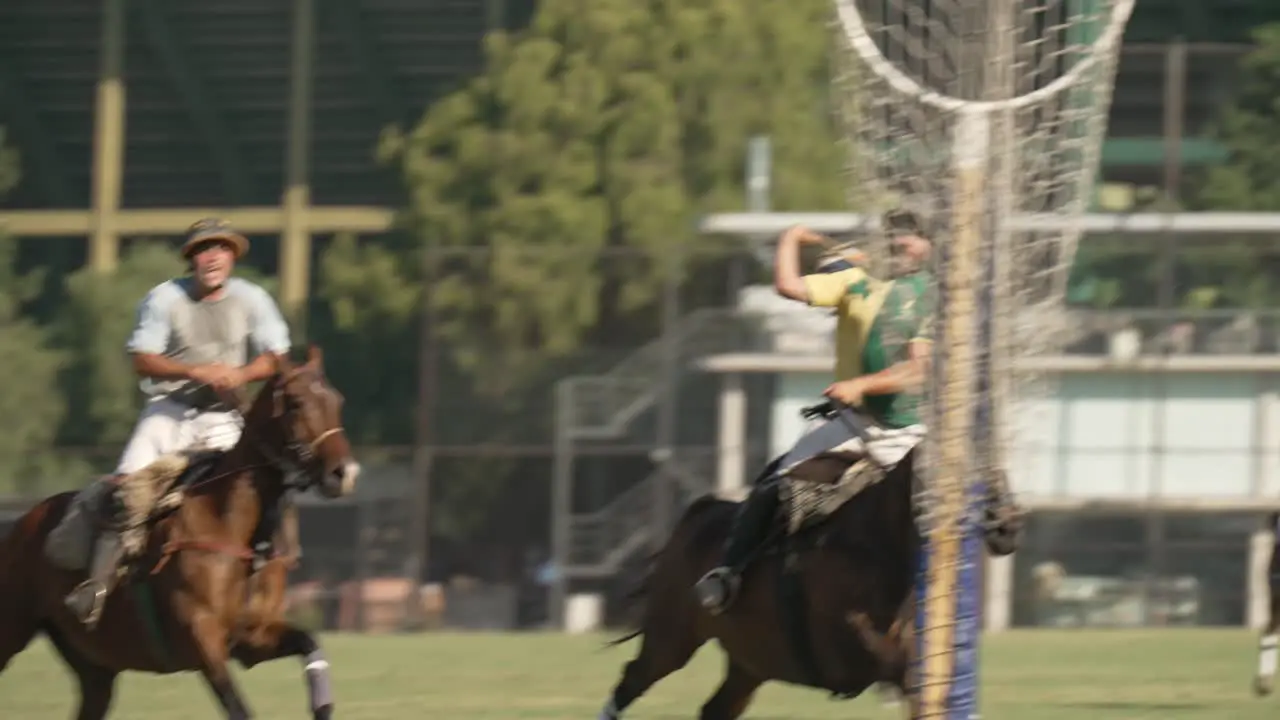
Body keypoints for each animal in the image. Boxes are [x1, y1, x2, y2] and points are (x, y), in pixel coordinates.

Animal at [0, 345, 358, 712]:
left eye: (337, 400)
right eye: (297, 402)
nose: (344, 473)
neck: (232, 527)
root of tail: (20, 525)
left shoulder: (252, 638)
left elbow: (309, 640)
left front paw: (322, 704)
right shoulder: (202, 640)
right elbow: (238, 706)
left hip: (94, 666)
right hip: (11, 630)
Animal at [593, 445, 1024, 712]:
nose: (1007, 525)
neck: (877, 546)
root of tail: (695, 516)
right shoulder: (849, 641)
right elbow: (897, 667)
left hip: (750, 663)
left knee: (715, 708)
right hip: (672, 638)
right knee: (631, 681)